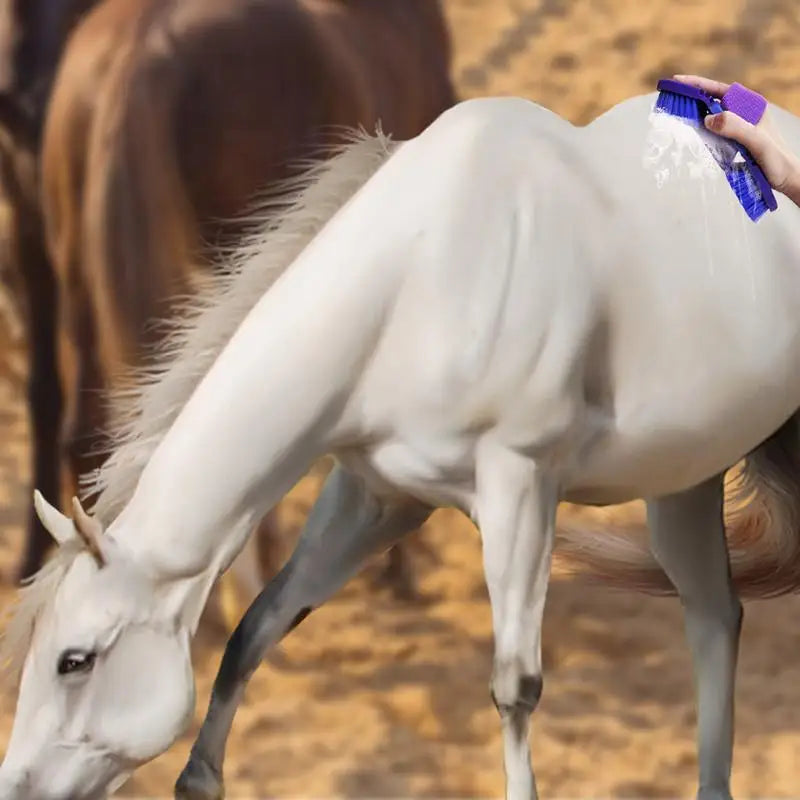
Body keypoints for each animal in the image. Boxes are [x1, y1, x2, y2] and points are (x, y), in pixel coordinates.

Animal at [1, 94, 800, 800]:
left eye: (74, 661)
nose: (16, 788)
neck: (424, 276)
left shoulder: (519, 487)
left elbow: (516, 686)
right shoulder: (378, 496)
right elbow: (261, 623)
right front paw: (200, 779)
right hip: (684, 479)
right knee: (713, 617)